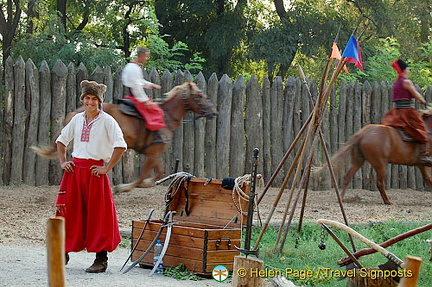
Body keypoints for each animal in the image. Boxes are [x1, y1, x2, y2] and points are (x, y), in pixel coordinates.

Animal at [32, 81, 218, 194]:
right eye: (199, 96)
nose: (213, 112)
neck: (166, 117)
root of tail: (76, 111)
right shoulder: (153, 153)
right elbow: (144, 175)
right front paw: (124, 187)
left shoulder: (154, 153)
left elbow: (159, 172)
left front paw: (145, 184)